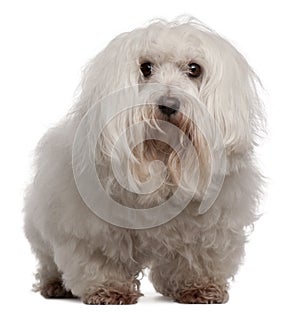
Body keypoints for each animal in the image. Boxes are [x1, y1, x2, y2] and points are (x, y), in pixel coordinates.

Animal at [24, 17, 262, 304]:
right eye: (145, 67)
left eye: (194, 69)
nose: (169, 105)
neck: (162, 157)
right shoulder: (92, 228)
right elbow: (101, 259)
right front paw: (109, 289)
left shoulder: (209, 225)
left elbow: (198, 257)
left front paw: (199, 287)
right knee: (47, 260)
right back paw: (54, 284)